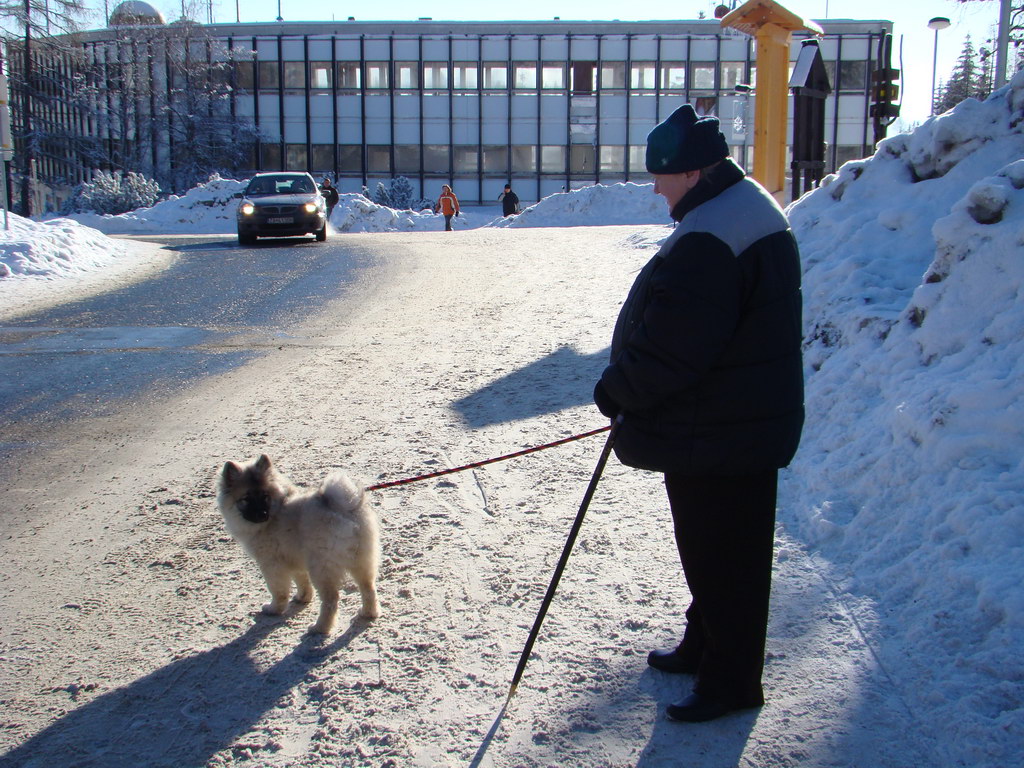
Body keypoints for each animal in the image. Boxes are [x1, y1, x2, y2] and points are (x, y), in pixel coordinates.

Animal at [216, 454, 380, 634]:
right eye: (246, 499)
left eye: (265, 496)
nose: (262, 514)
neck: (276, 510)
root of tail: (342, 508)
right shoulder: (295, 561)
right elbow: (302, 582)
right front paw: (302, 598)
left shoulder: (272, 565)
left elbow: (278, 591)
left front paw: (273, 609)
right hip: (362, 561)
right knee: (368, 588)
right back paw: (368, 613)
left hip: (321, 568)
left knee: (331, 599)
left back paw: (319, 628)